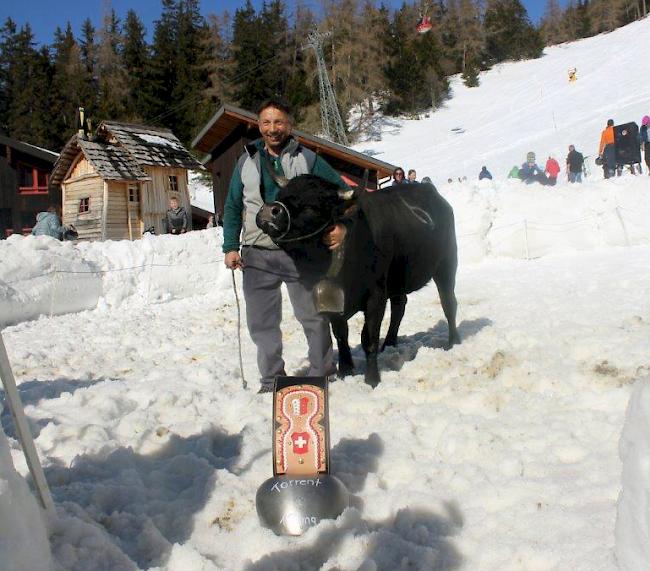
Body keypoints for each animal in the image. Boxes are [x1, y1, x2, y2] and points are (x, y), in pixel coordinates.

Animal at [256, 175, 458, 388]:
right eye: (280, 195)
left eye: (311, 206)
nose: (270, 210)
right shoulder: (332, 301)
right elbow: (340, 334)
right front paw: (346, 370)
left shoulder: (376, 296)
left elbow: (368, 338)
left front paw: (372, 379)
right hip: (398, 278)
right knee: (399, 306)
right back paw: (390, 343)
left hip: (447, 264)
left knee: (448, 303)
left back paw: (453, 342)